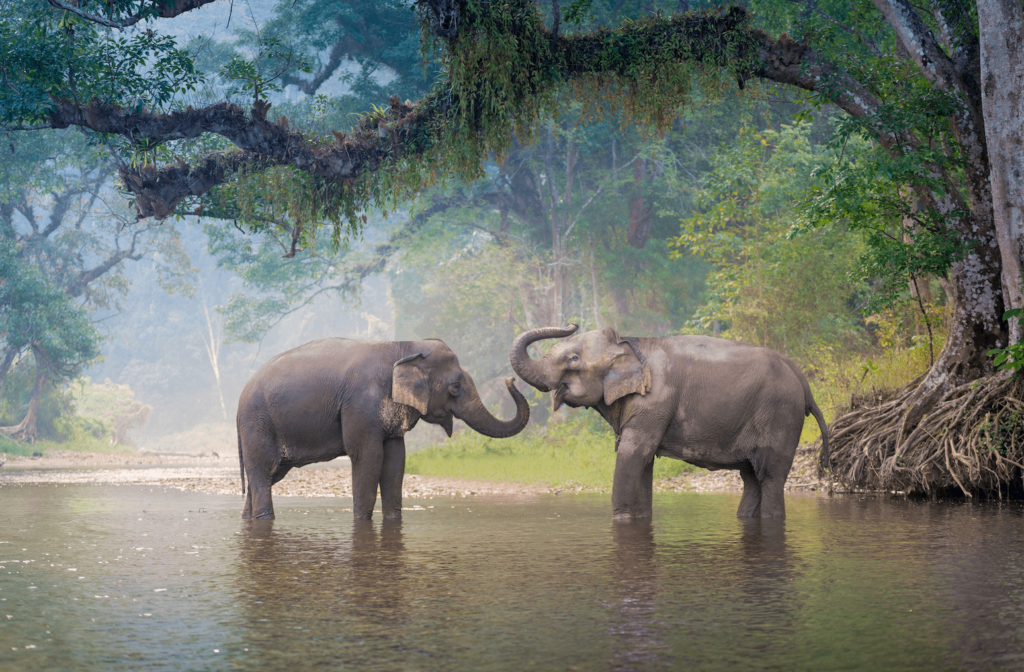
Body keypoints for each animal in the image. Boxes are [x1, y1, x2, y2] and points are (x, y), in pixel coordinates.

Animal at [237, 338, 528, 522]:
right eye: (455, 386)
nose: (510, 378)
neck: (401, 346)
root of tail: (240, 397)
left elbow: (395, 460)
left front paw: (393, 520)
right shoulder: (360, 405)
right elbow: (368, 457)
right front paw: (362, 522)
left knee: (267, 476)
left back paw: (248, 518)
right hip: (257, 424)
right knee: (263, 472)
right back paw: (264, 519)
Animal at [507, 325, 827, 520]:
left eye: (573, 359)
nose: (572, 323)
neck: (630, 343)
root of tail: (804, 381)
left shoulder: (655, 402)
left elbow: (632, 455)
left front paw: (620, 520)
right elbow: (643, 462)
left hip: (780, 415)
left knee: (770, 477)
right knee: (750, 478)